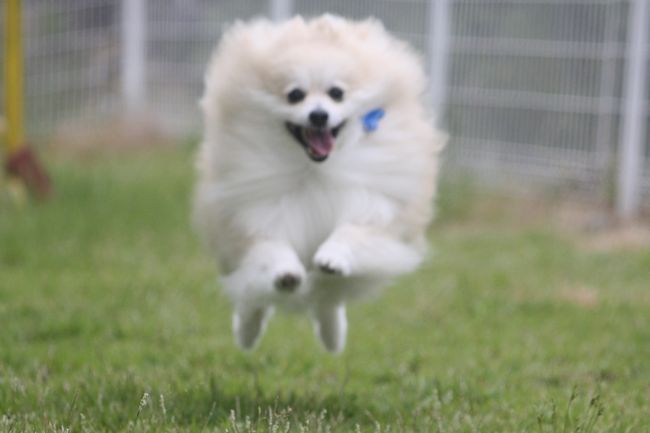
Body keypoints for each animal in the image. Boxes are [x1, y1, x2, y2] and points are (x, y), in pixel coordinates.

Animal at [194, 15, 445, 353]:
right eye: (295, 95)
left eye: (336, 93)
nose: (318, 115)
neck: (314, 169)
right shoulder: (256, 214)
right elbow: (271, 247)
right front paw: (286, 273)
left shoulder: (374, 206)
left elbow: (351, 232)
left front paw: (333, 256)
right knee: (253, 295)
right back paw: (247, 334)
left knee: (328, 297)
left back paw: (332, 336)